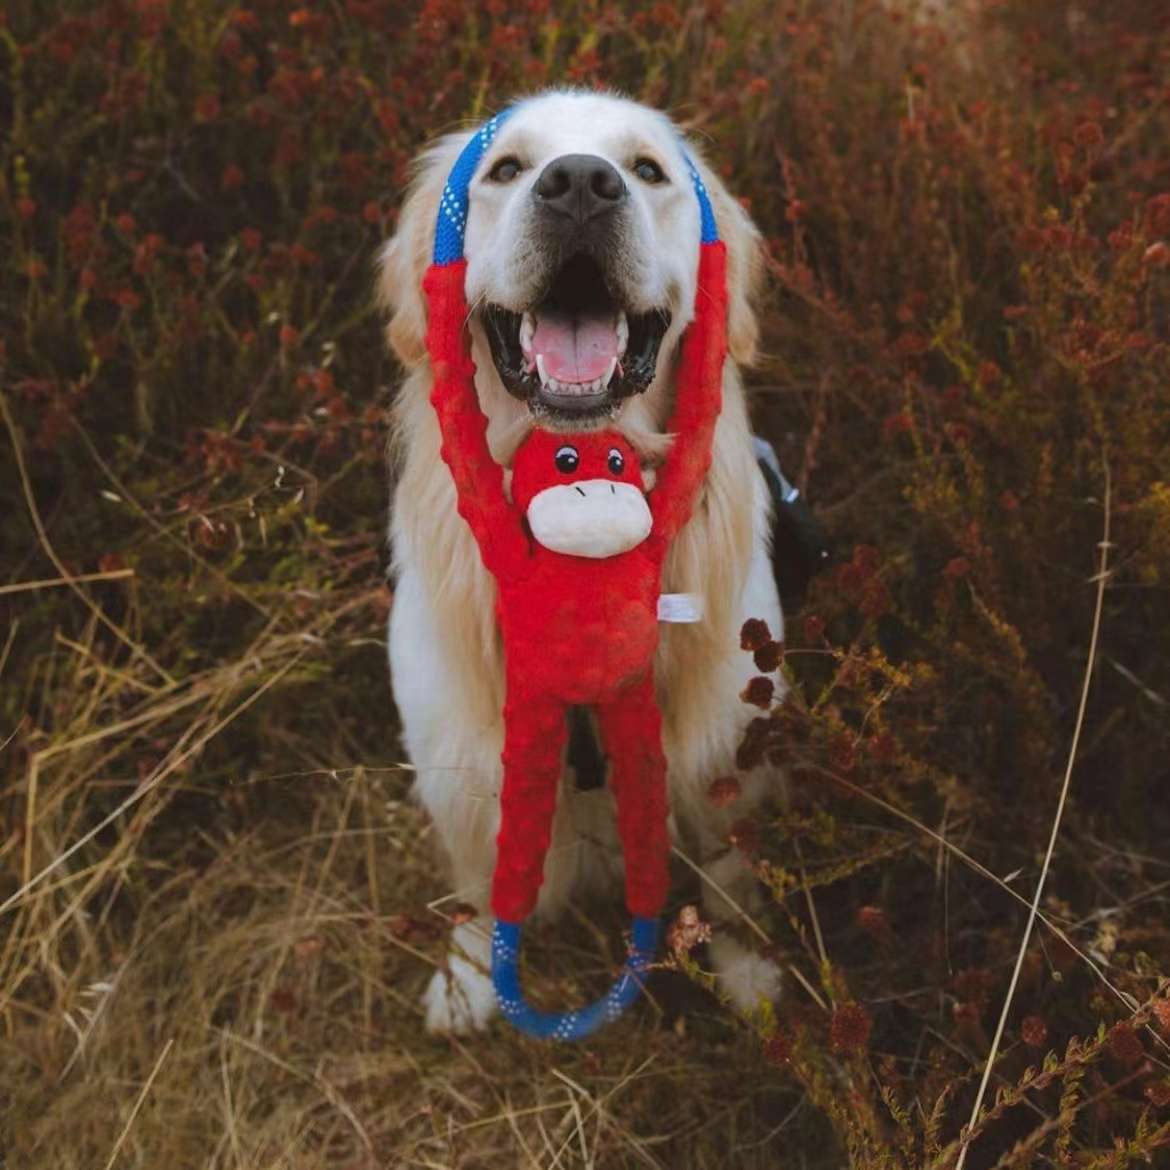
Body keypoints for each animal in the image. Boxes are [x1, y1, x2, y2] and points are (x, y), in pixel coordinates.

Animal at [381, 91, 786, 1034]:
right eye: (505, 169)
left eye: (645, 170)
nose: (578, 186)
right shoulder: (456, 746)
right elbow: (478, 880)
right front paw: (468, 977)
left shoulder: (731, 737)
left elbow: (733, 871)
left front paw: (748, 970)